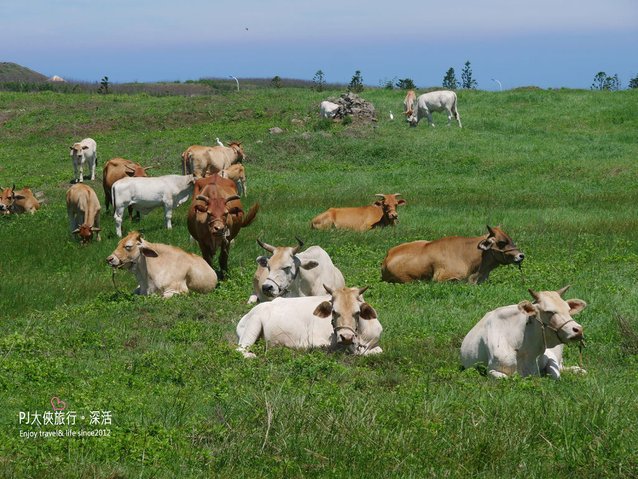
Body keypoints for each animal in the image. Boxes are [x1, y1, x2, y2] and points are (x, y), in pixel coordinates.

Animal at [236, 286, 382, 358]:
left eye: (357, 312)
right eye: (334, 311)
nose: (346, 337)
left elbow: (378, 350)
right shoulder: (316, 341)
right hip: (253, 324)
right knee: (240, 349)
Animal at [460, 286, 592, 380]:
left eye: (568, 310)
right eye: (549, 311)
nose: (578, 329)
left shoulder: (550, 356)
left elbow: (556, 375)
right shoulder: (492, 370)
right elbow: (505, 378)